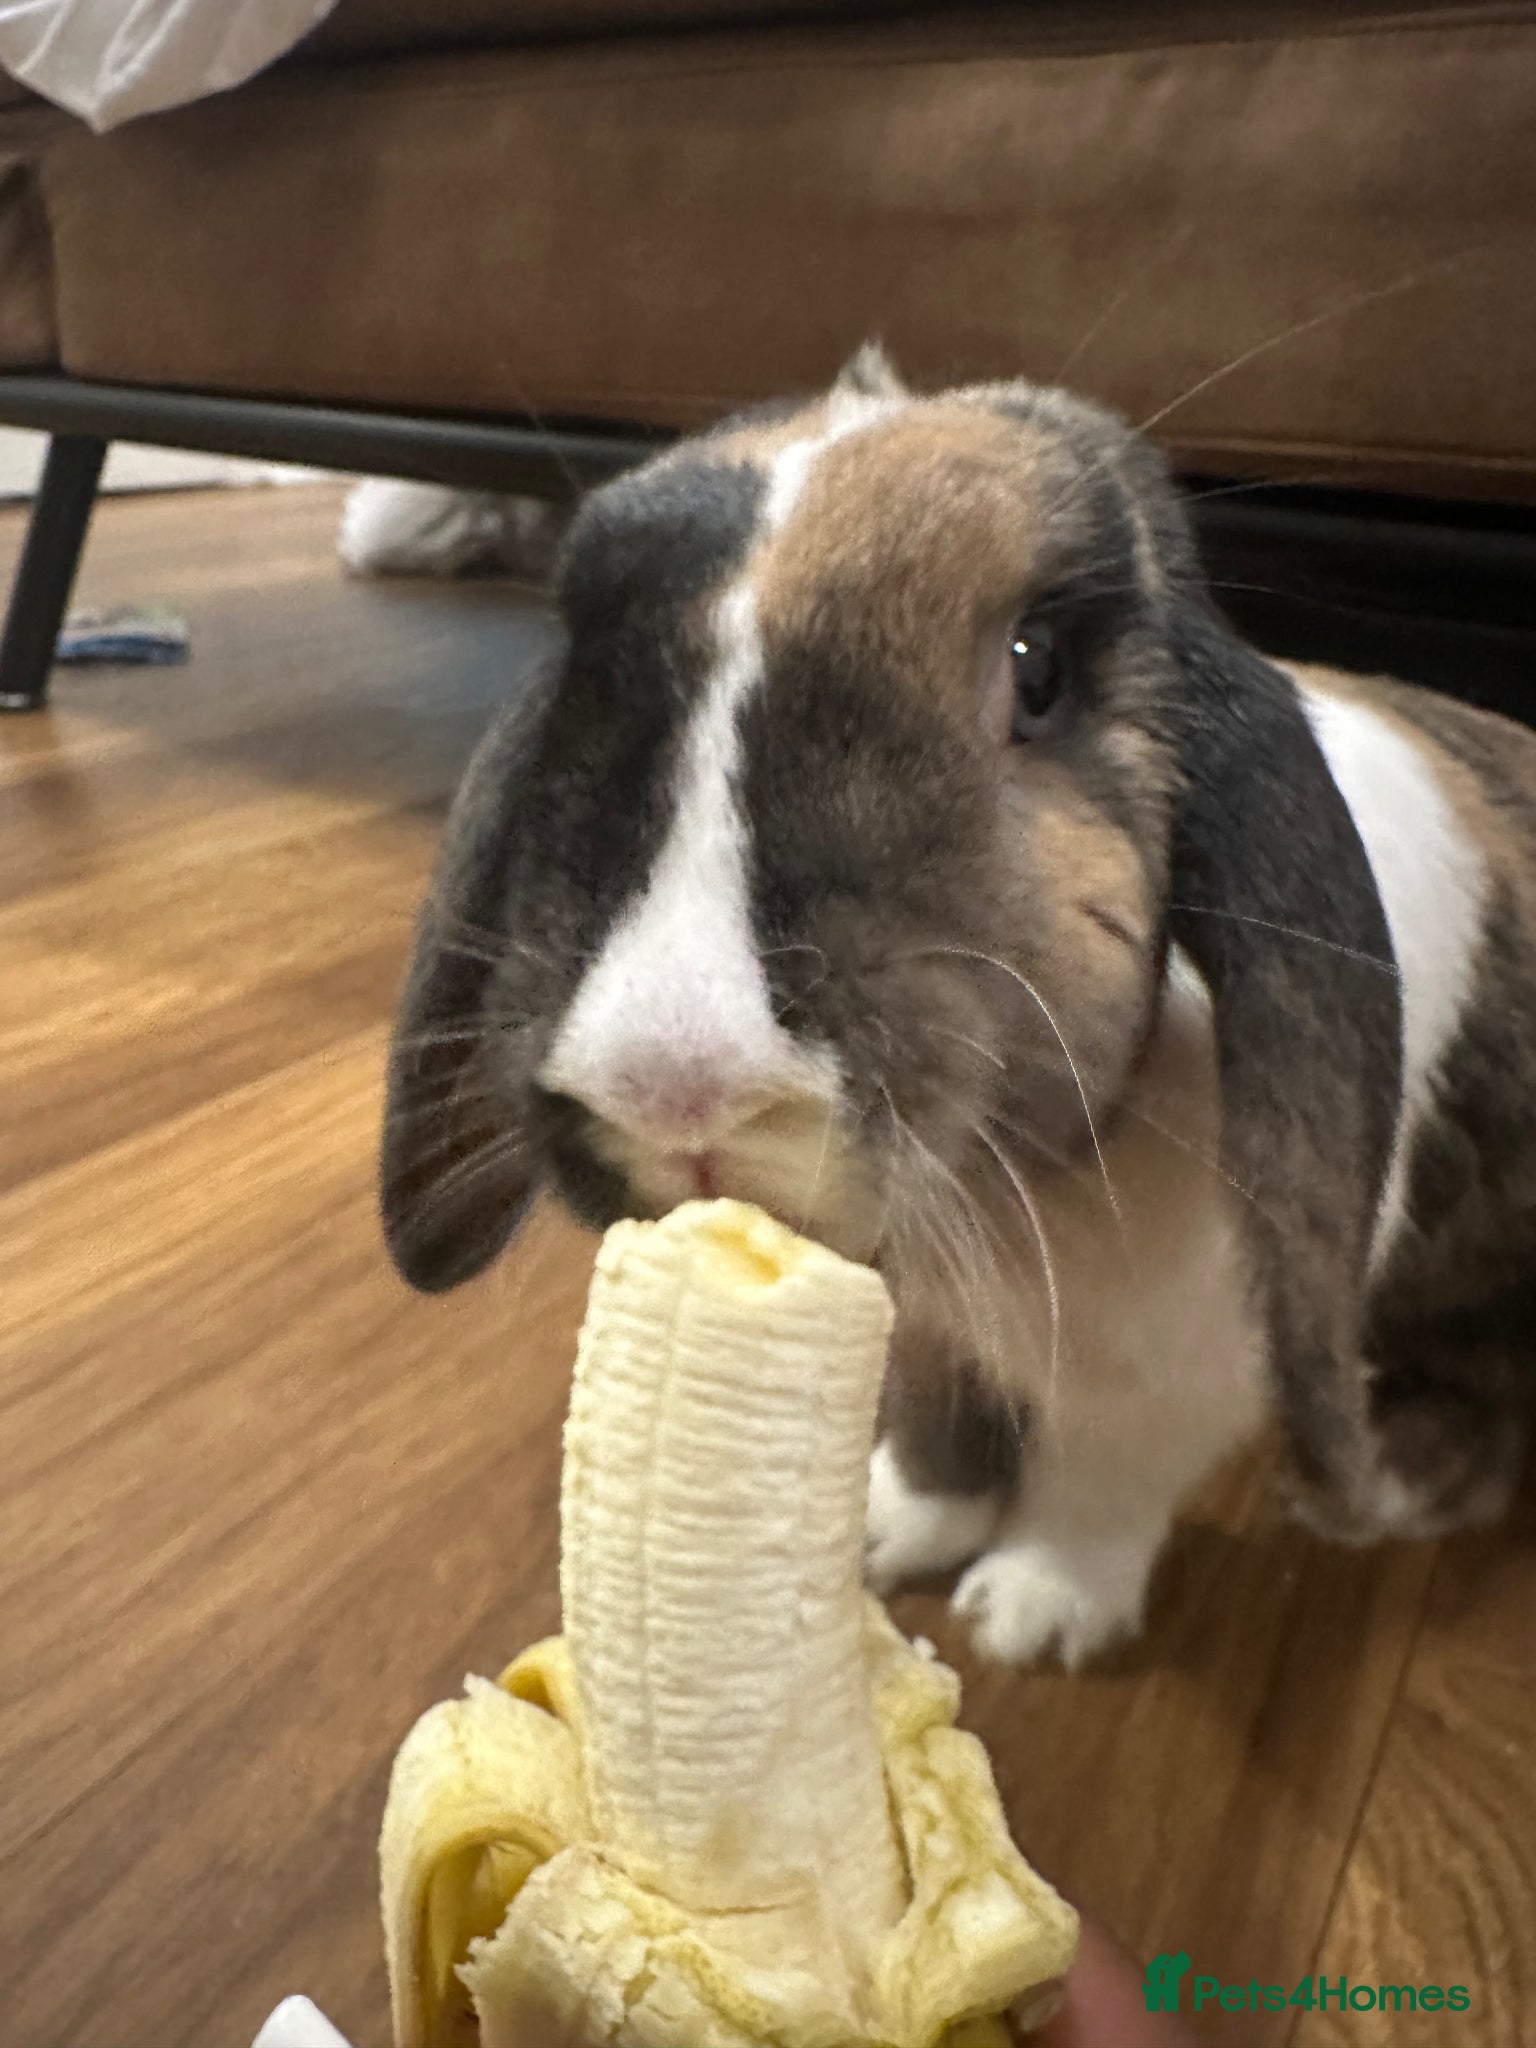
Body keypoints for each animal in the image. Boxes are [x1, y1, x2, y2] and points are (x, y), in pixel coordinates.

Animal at [380, 344, 1535, 1667]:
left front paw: (1025, 1615)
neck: (1004, 1181)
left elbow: (1099, 1488)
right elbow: (936, 1416)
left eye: (1038, 667)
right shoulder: (921, 1327)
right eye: (585, 663)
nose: (672, 1087)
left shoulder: (1178, 1376)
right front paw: (889, 1535)